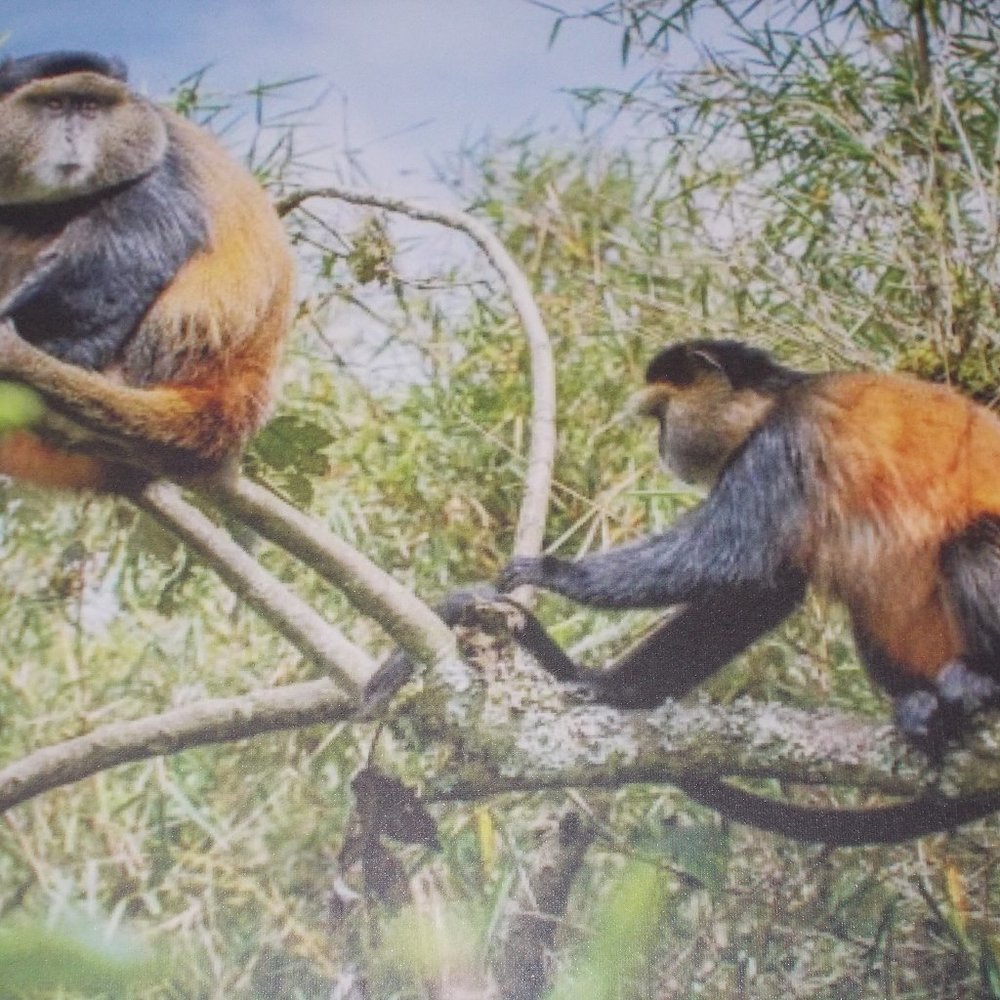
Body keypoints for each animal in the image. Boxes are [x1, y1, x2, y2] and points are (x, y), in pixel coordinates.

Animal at [496, 339, 1000, 750]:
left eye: (662, 417)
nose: (661, 447)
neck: (776, 397)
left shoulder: (780, 442)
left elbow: (732, 557)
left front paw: (554, 572)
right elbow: (764, 591)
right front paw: (609, 688)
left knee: (972, 545)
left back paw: (981, 679)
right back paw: (921, 702)